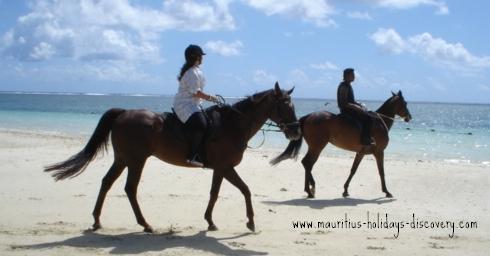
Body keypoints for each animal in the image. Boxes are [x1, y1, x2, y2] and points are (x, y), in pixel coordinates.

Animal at [46, 82, 300, 232]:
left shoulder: (220, 169)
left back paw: (98, 220)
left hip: (123, 159)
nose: (296, 130)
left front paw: (210, 221)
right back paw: (145, 224)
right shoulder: (226, 167)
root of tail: (124, 113)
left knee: (107, 182)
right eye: (285, 106)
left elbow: (215, 193)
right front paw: (250, 221)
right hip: (136, 160)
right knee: (130, 188)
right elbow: (245, 190)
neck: (232, 125)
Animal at [270, 91, 412, 199]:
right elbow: (381, 172)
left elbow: (353, 170)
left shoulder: (360, 153)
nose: (409, 117)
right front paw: (386, 191)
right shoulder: (379, 152)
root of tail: (308, 117)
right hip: (317, 147)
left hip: (315, 147)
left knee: (307, 164)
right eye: (405, 103)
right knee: (307, 163)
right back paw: (310, 189)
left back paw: (310, 190)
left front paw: (345, 190)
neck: (379, 122)